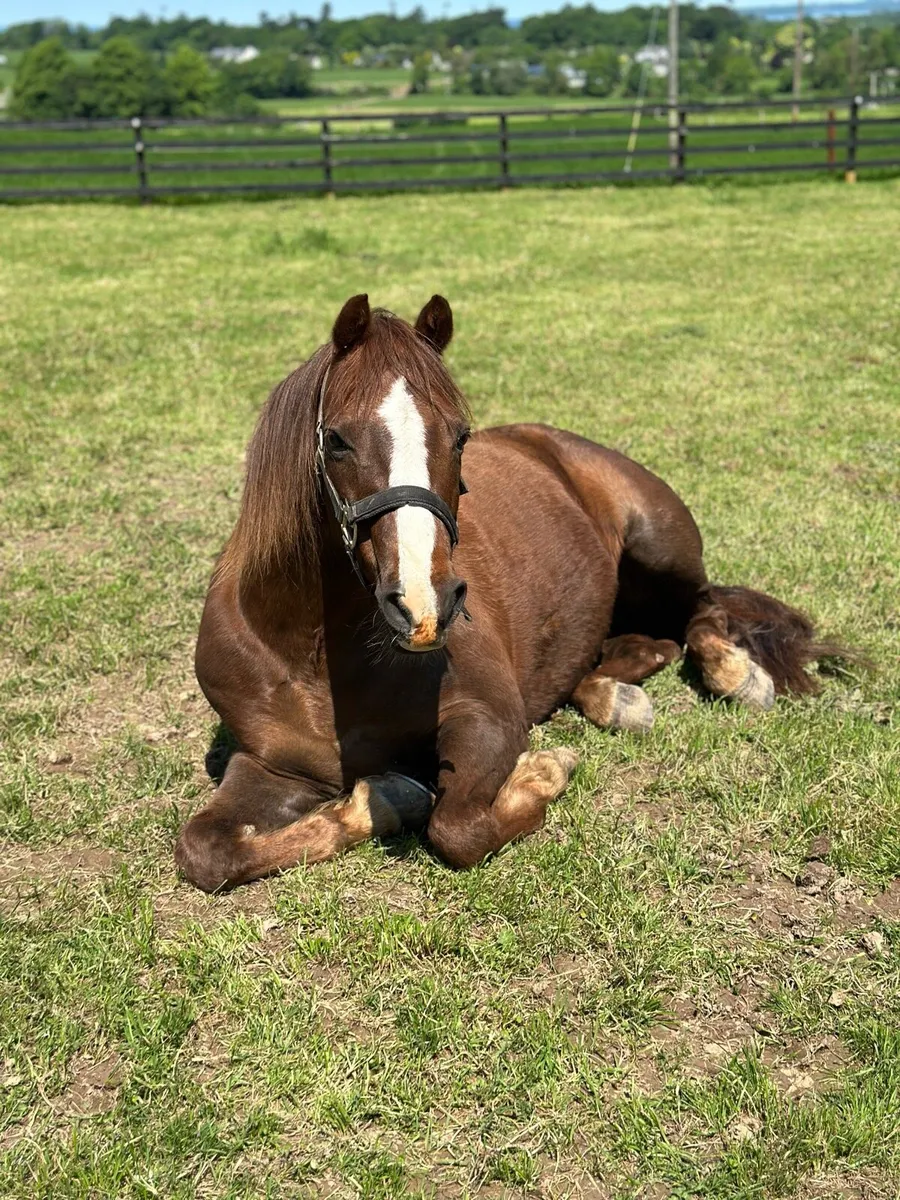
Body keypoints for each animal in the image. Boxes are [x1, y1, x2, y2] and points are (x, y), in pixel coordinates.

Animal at [175, 293, 840, 893]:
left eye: (460, 436)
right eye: (336, 439)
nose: (424, 606)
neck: (314, 655)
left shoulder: (487, 716)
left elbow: (458, 828)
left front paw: (542, 770)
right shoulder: (272, 765)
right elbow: (204, 852)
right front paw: (388, 796)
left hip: (660, 549)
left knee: (701, 611)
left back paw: (736, 675)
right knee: (642, 645)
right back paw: (615, 697)